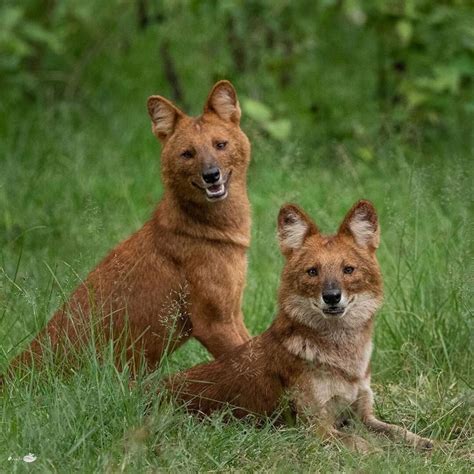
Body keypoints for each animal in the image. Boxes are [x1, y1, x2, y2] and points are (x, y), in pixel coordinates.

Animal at [11, 79, 252, 372]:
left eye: (220, 144)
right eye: (187, 154)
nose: (211, 175)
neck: (219, 230)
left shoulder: (233, 312)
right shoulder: (211, 322)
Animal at [168, 200, 436, 452]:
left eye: (348, 269)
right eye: (312, 271)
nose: (332, 296)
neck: (344, 356)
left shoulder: (363, 415)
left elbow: (399, 431)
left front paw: (428, 443)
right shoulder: (316, 425)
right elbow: (361, 443)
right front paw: (381, 455)